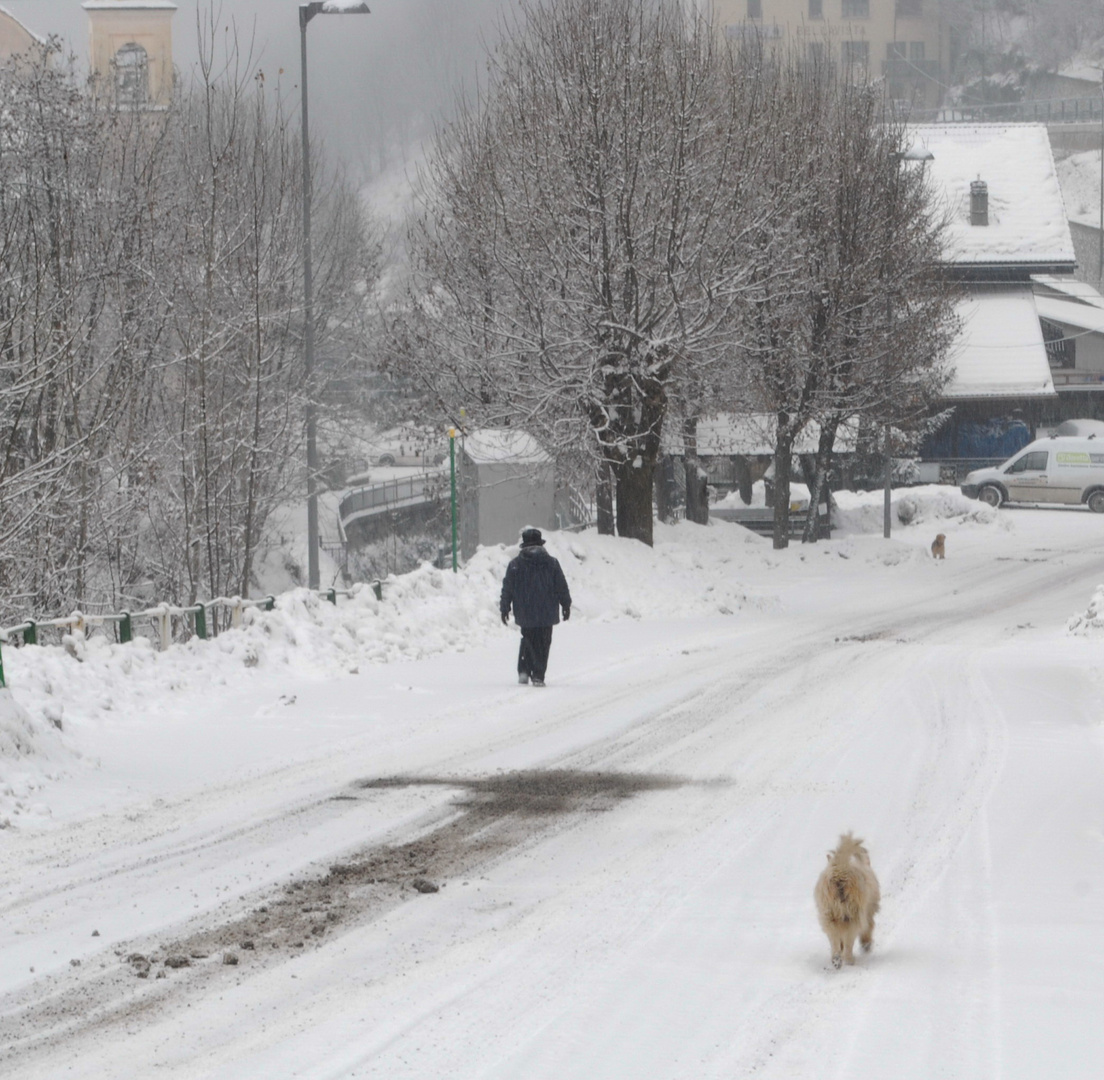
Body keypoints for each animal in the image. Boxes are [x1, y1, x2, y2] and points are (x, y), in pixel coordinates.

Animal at [816, 830, 883, 971]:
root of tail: (841, 870)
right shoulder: (867, 913)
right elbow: (868, 928)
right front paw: (866, 945)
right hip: (853, 914)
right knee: (849, 941)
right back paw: (849, 960)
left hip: (828, 914)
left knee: (834, 939)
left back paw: (837, 959)